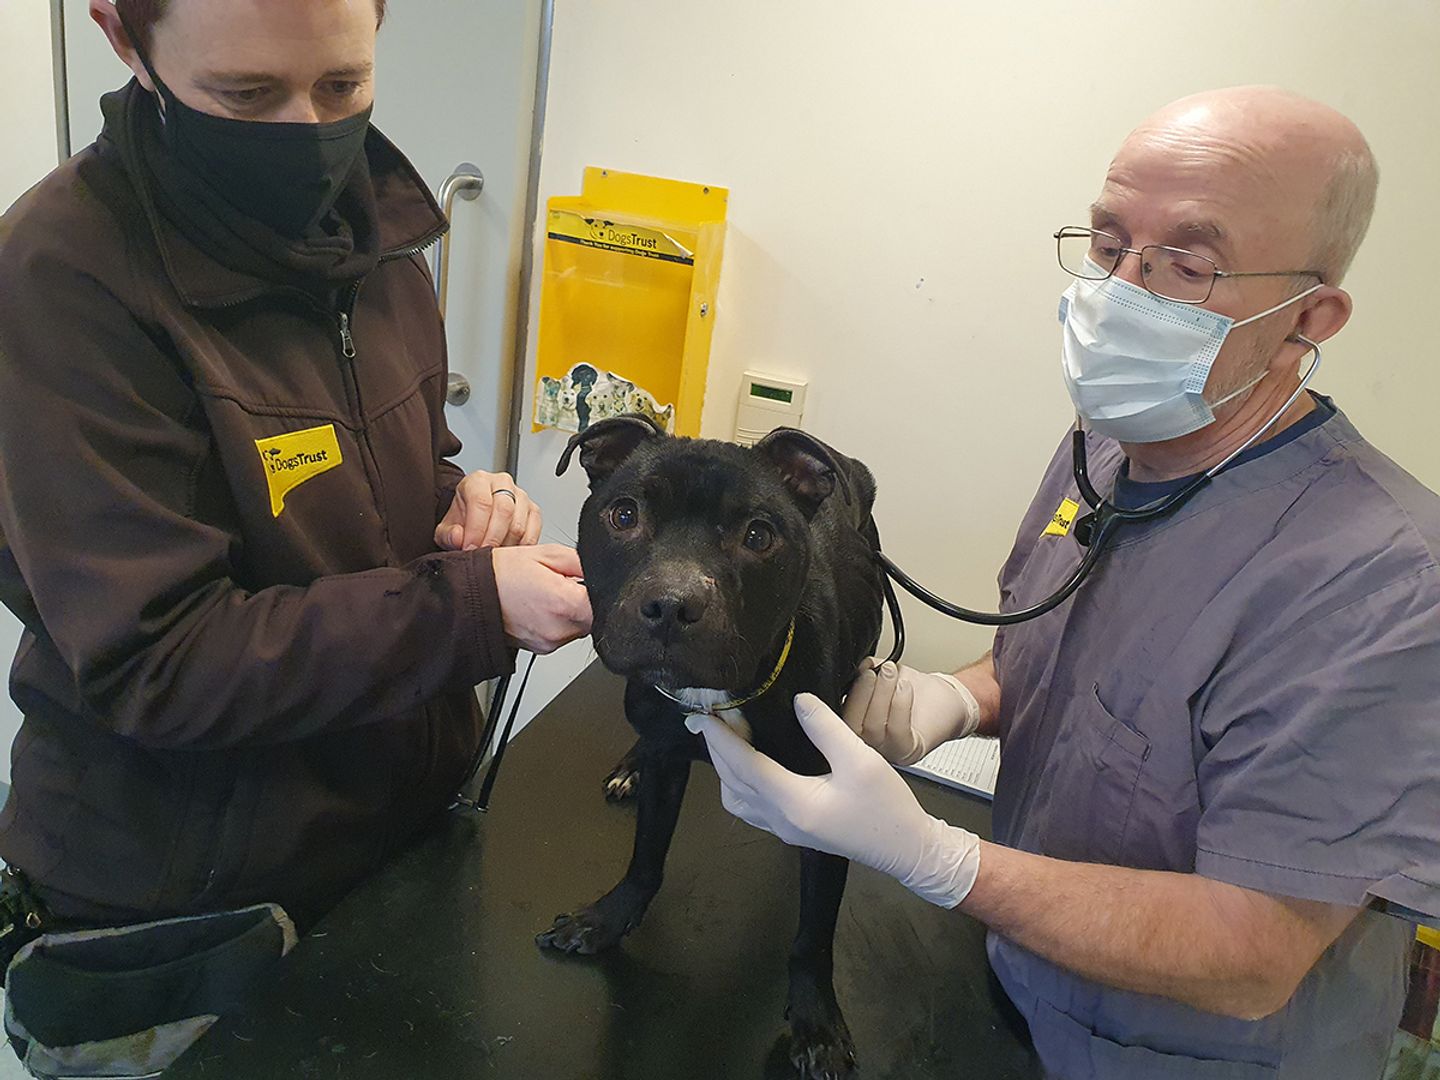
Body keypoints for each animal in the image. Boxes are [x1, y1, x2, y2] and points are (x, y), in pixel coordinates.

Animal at [538, 417, 881, 1080]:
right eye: (624, 515)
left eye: (758, 535)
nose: (673, 604)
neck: (720, 694)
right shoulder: (669, 757)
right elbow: (646, 857)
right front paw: (608, 920)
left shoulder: (835, 806)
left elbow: (813, 933)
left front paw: (816, 1019)